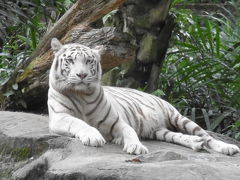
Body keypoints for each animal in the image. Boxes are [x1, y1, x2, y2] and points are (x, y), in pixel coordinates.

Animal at [47, 37, 239, 155]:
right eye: (70, 61)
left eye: (88, 61)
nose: (82, 75)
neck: (81, 95)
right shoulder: (59, 117)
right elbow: (79, 122)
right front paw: (94, 137)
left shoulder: (117, 121)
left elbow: (129, 130)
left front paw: (136, 147)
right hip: (159, 131)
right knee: (178, 136)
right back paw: (195, 143)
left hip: (179, 117)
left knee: (207, 136)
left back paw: (228, 147)